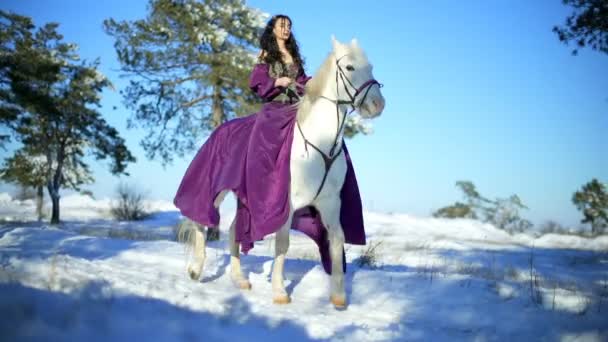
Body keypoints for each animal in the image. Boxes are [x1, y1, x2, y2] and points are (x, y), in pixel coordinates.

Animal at [178, 36, 384, 308]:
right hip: (216, 190)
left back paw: (239, 279)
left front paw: (339, 297)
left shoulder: (330, 203)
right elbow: (283, 244)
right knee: (201, 220)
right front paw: (279, 292)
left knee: (234, 230)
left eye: (370, 67)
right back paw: (195, 269)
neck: (320, 144)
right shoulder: (285, 204)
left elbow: (337, 240)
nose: (378, 105)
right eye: (349, 67)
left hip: (245, 200)